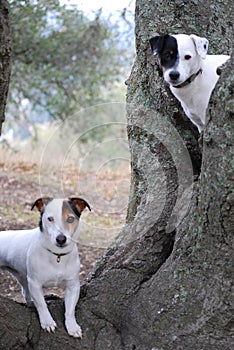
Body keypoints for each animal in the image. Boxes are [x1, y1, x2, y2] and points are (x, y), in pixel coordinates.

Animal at [0, 196, 91, 338]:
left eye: (70, 219)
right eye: (50, 218)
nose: (61, 239)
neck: (57, 256)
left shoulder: (73, 285)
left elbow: (70, 309)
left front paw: (72, 326)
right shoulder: (35, 283)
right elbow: (42, 304)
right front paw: (47, 322)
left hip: (22, 277)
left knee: (25, 292)